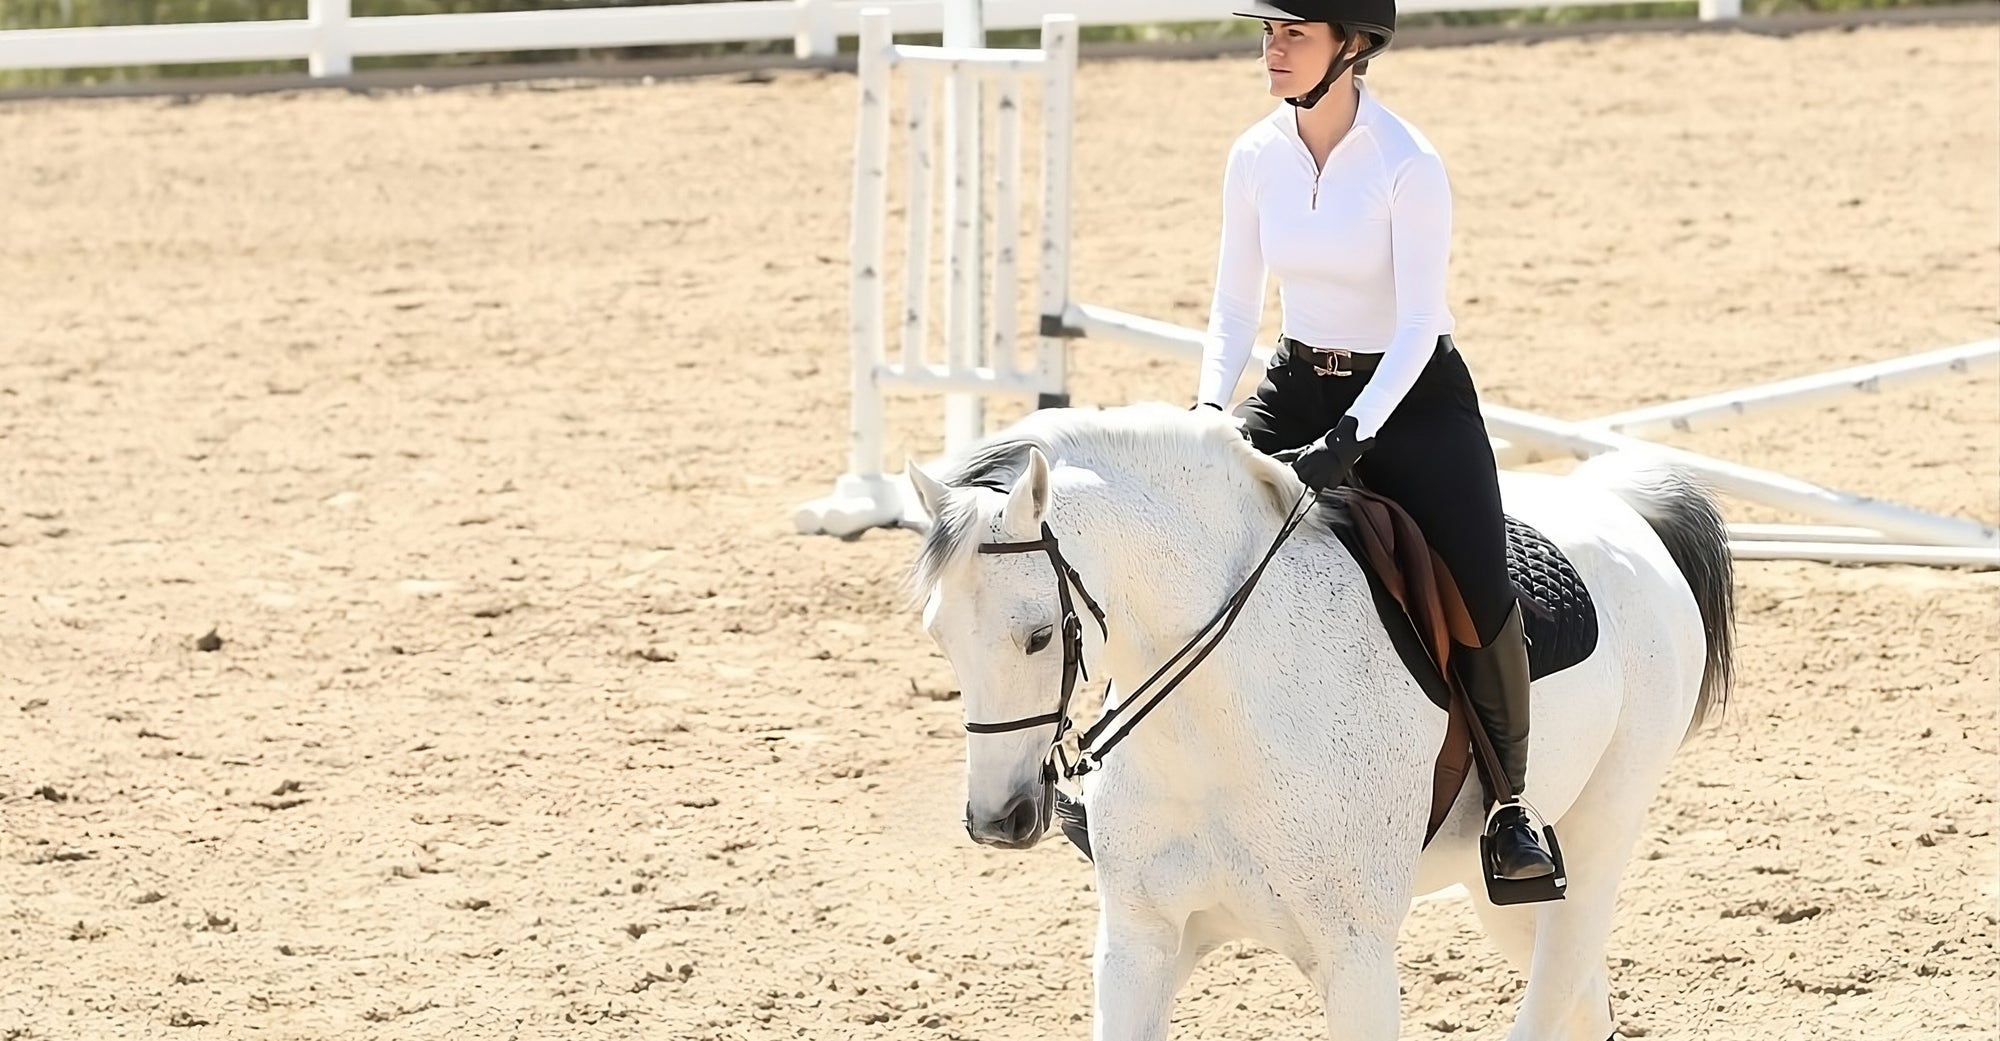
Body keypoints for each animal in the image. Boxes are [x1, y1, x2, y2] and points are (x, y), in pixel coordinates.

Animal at [902, 402, 1735, 1041]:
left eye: (1040, 634)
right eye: (938, 633)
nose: (998, 819)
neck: (1213, 730)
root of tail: (1622, 506)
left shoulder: (1356, 958)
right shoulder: (1139, 942)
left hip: (1595, 842)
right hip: (1497, 890)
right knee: (1582, 1000)